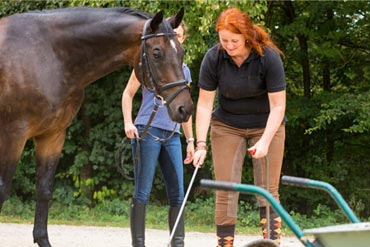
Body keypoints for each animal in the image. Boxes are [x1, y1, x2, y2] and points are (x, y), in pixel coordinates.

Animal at [0, 6, 192, 247]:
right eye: (157, 52)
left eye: (181, 51)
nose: (185, 108)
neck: (48, 55)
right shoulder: (13, 135)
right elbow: (2, 189)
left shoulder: (52, 135)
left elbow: (44, 190)